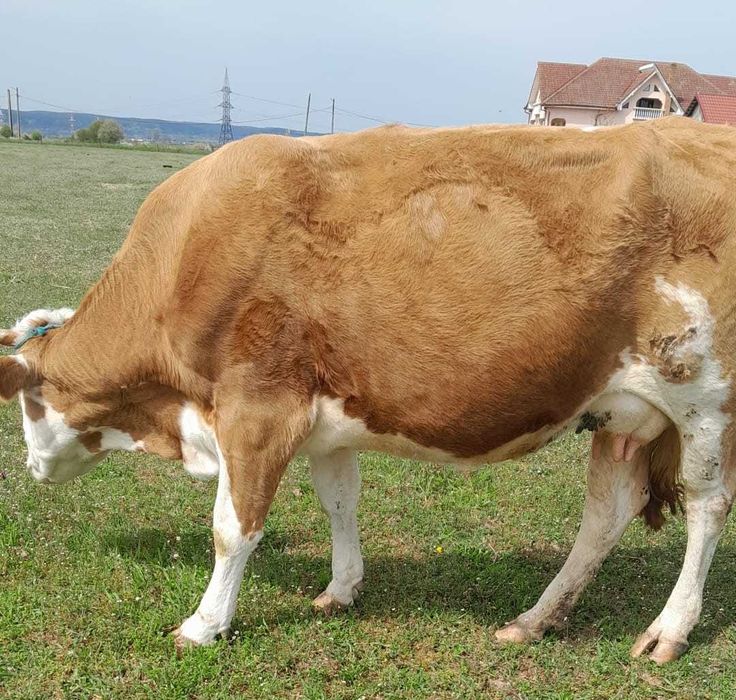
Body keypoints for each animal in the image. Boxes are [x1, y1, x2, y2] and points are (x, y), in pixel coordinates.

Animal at [1, 117, 735, 665]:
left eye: (29, 405)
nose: (32, 467)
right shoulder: (325, 421)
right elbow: (339, 501)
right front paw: (342, 588)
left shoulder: (255, 410)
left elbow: (233, 529)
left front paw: (203, 625)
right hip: (619, 410)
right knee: (606, 513)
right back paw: (535, 619)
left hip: (703, 397)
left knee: (707, 506)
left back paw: (669, 631)